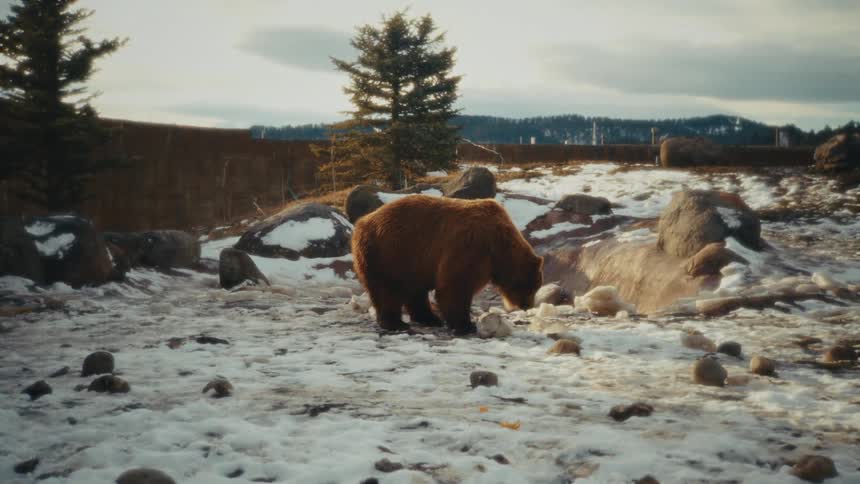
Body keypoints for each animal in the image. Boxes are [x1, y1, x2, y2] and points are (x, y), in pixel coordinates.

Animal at [351, 195, 543, 335]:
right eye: (532, 286)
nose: (527, 306)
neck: (497, 247)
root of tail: (361, 222)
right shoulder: (472, 245)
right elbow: (455, 286)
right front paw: (466, 325)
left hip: (412, 261)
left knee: (414, 291)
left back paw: (430, 318)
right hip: (388, 252)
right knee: (388, 290)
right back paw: (396, 323)